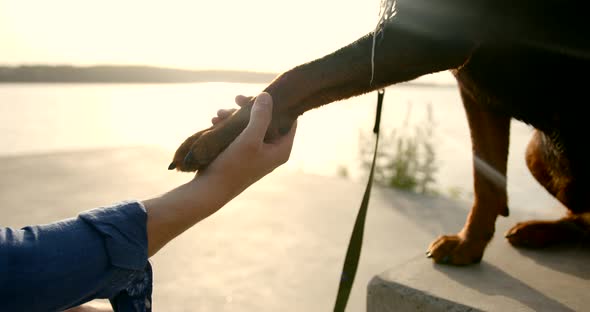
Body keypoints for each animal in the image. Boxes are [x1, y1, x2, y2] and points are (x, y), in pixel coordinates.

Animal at [169, 0, 588, 264]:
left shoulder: (435, 36)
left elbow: (299, 76)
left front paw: (211, 139)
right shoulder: (471, 83)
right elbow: (484, 176)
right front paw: (469, 245)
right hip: (536, 152)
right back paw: (540, 230)